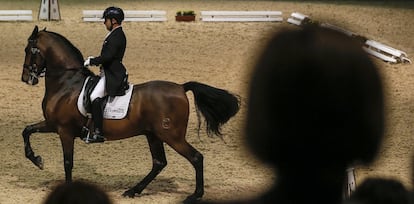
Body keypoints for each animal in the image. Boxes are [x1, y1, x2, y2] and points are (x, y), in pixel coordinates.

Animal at [20, 25, 239, 202]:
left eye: (28, 50)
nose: (25, 78)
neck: (67, 83)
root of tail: (181, 87)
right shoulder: (52, 124)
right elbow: (27, 130)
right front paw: (37, 160)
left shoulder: (64, 130)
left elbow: (67, 162)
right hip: (153, 135)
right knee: (159, 162)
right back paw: (133, 191)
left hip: (172, 136)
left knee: (196, 158)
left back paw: (195, 195)